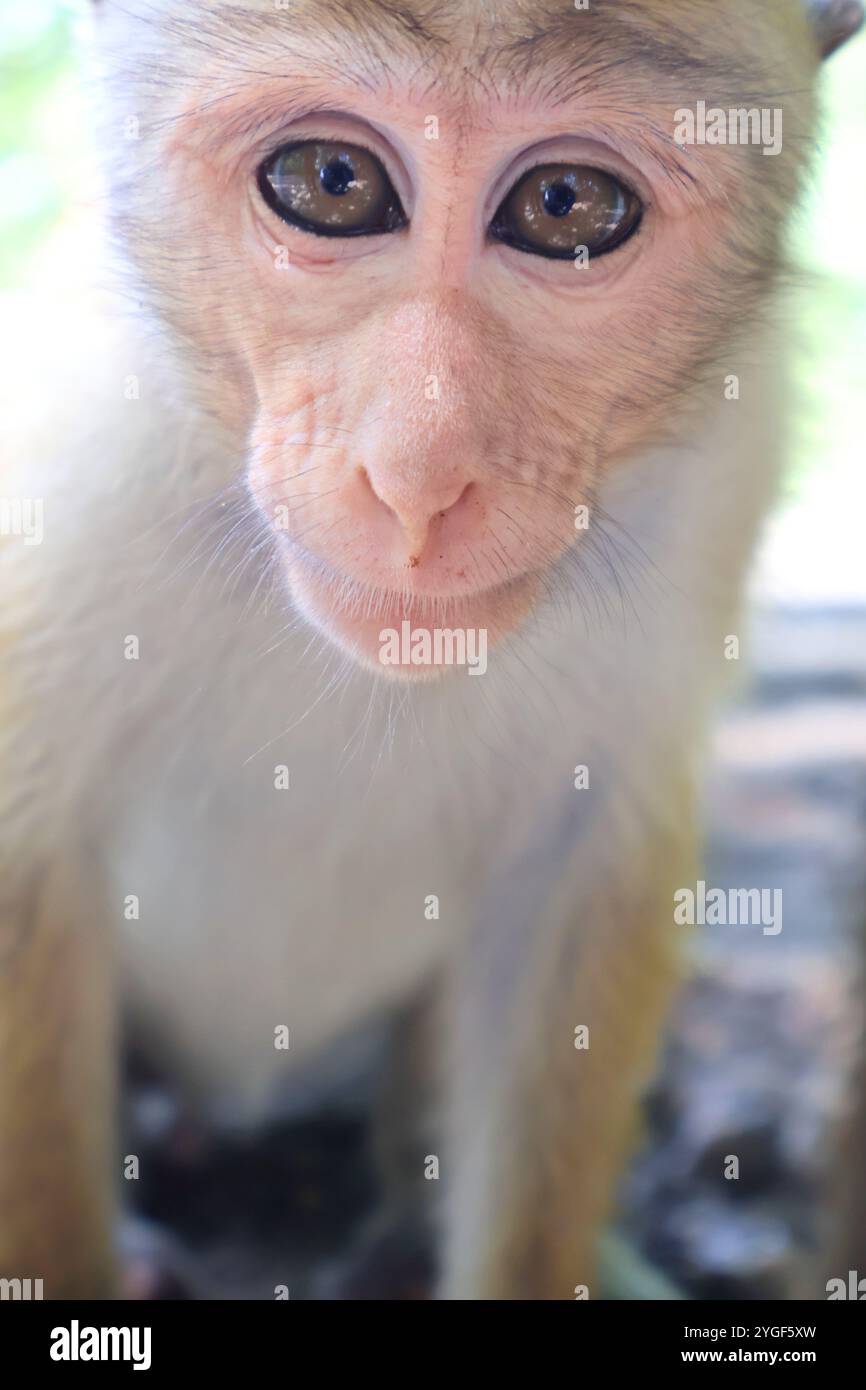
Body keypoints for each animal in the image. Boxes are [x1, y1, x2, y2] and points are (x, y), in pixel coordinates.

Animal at [0, 0, 861, 1301]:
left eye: (563, 203)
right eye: (332, 180)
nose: (417, 477)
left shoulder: (727, 465)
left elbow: (568, 878)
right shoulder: (69, 445)